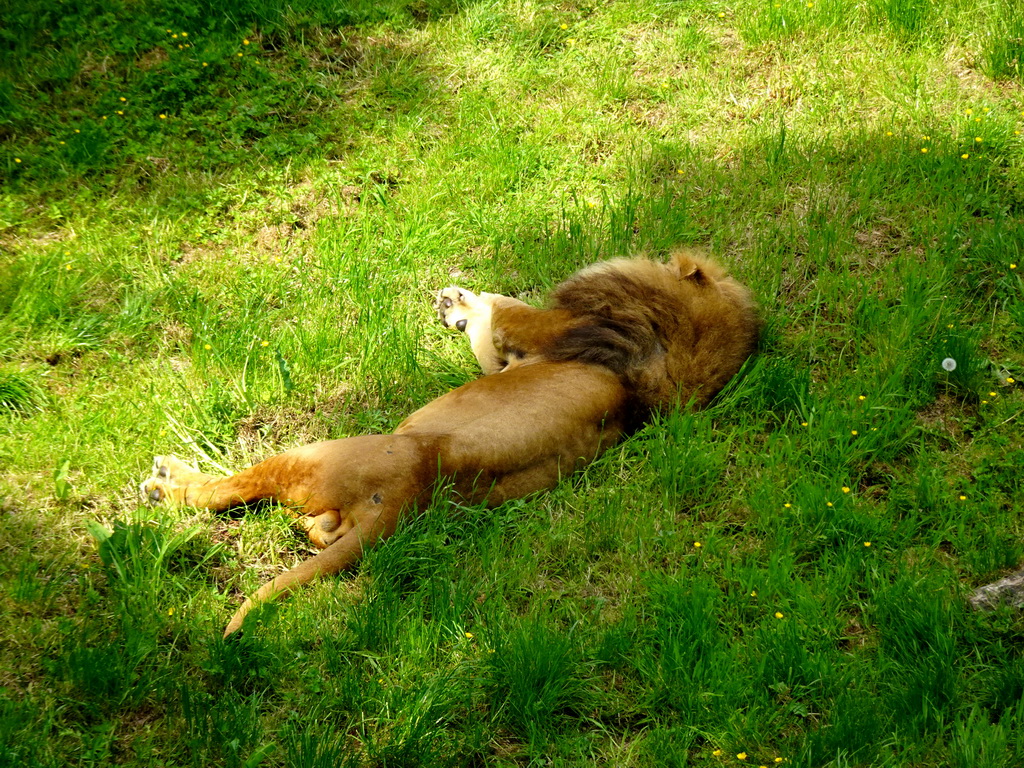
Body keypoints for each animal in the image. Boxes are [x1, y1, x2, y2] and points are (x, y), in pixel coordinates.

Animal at [140, 247, 757, 638]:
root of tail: (402, 502)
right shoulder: (511, 360)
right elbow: (486, 341)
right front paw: (457, 309)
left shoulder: (538, 330)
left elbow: (498, 307)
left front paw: (459, 301)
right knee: (315, 532)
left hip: (318, 451)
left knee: (227, 492)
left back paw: (167, 481)